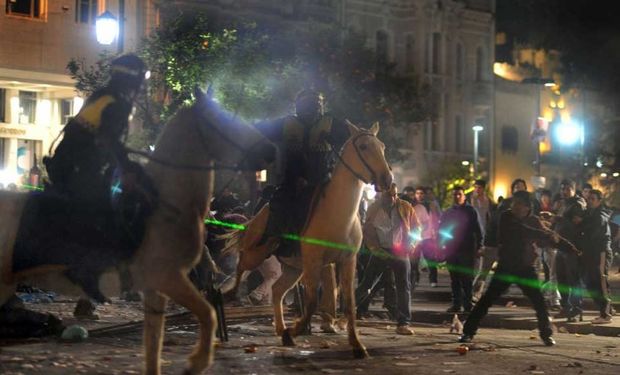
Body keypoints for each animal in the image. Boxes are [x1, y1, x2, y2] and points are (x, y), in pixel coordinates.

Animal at [0, 91, 276, 375]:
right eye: (223, 119)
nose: (270, 151)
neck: (168, 204)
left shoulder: (156, 289)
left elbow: (154, 343)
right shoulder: (169, 278)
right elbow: (208, 315)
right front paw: (196, 362)